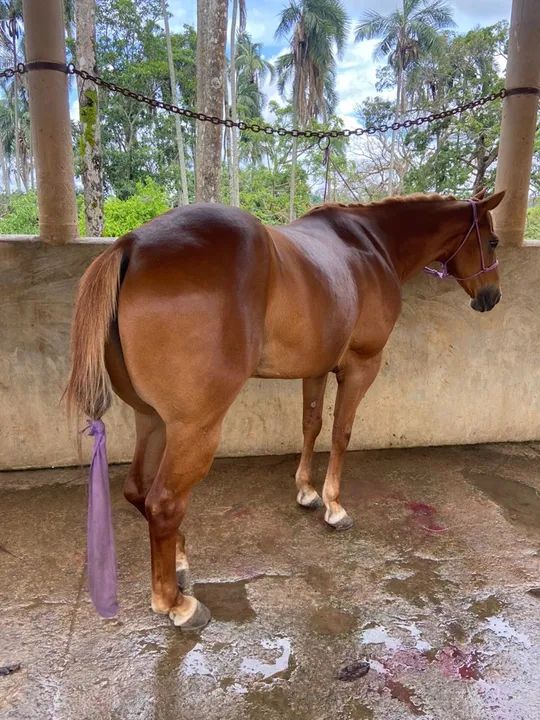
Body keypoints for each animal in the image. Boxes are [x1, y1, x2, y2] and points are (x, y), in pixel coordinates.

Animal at [67, 190, 504, 630]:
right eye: (493, 241)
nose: (492, 297)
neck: (373, 243)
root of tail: (132, 245)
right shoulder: (361, 366)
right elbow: (342, 432)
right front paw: (334, 505)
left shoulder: (316, 368)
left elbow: (312, 424)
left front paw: (306, 491)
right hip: (193, 428)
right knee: (163, 503)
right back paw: (176, 603)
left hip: (152, 418)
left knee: (138, 491)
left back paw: (180, 562)